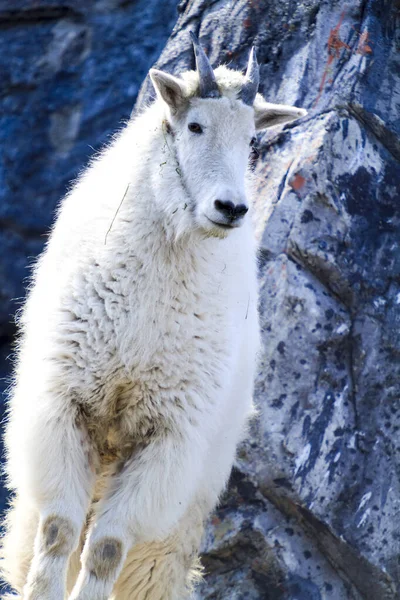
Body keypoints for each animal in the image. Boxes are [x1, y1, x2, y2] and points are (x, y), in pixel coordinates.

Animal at [0, 34, 306, 600]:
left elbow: (105, 548)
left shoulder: (166, 436)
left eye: (252, 139)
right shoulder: (67, 406)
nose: (230, 208)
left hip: (181, 513)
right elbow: (58, 532)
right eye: (195, 126)